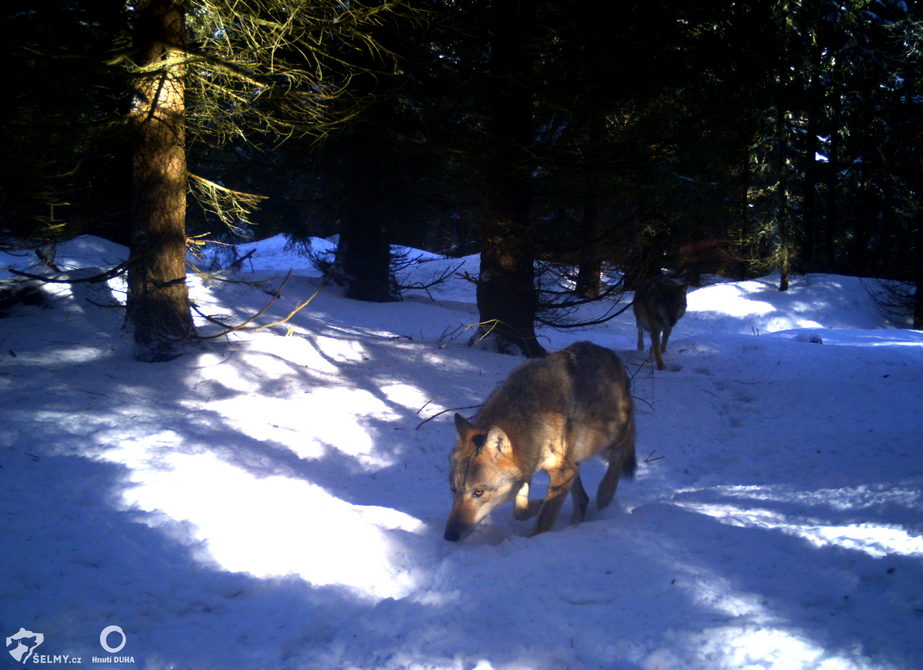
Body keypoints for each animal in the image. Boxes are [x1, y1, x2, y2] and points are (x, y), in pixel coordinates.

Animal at [446, 344, 636, 544]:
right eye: (453, 489)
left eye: (478, 492)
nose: (449, 536)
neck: (530, 418)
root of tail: (610, 353)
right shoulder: (532, 468)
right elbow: (520, 511)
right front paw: (538, 504)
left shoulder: (560, 471)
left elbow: (544, 520)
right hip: (573, 461)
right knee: (583, 498)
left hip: (608, 442)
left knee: (619, 456)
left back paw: (604, 498)